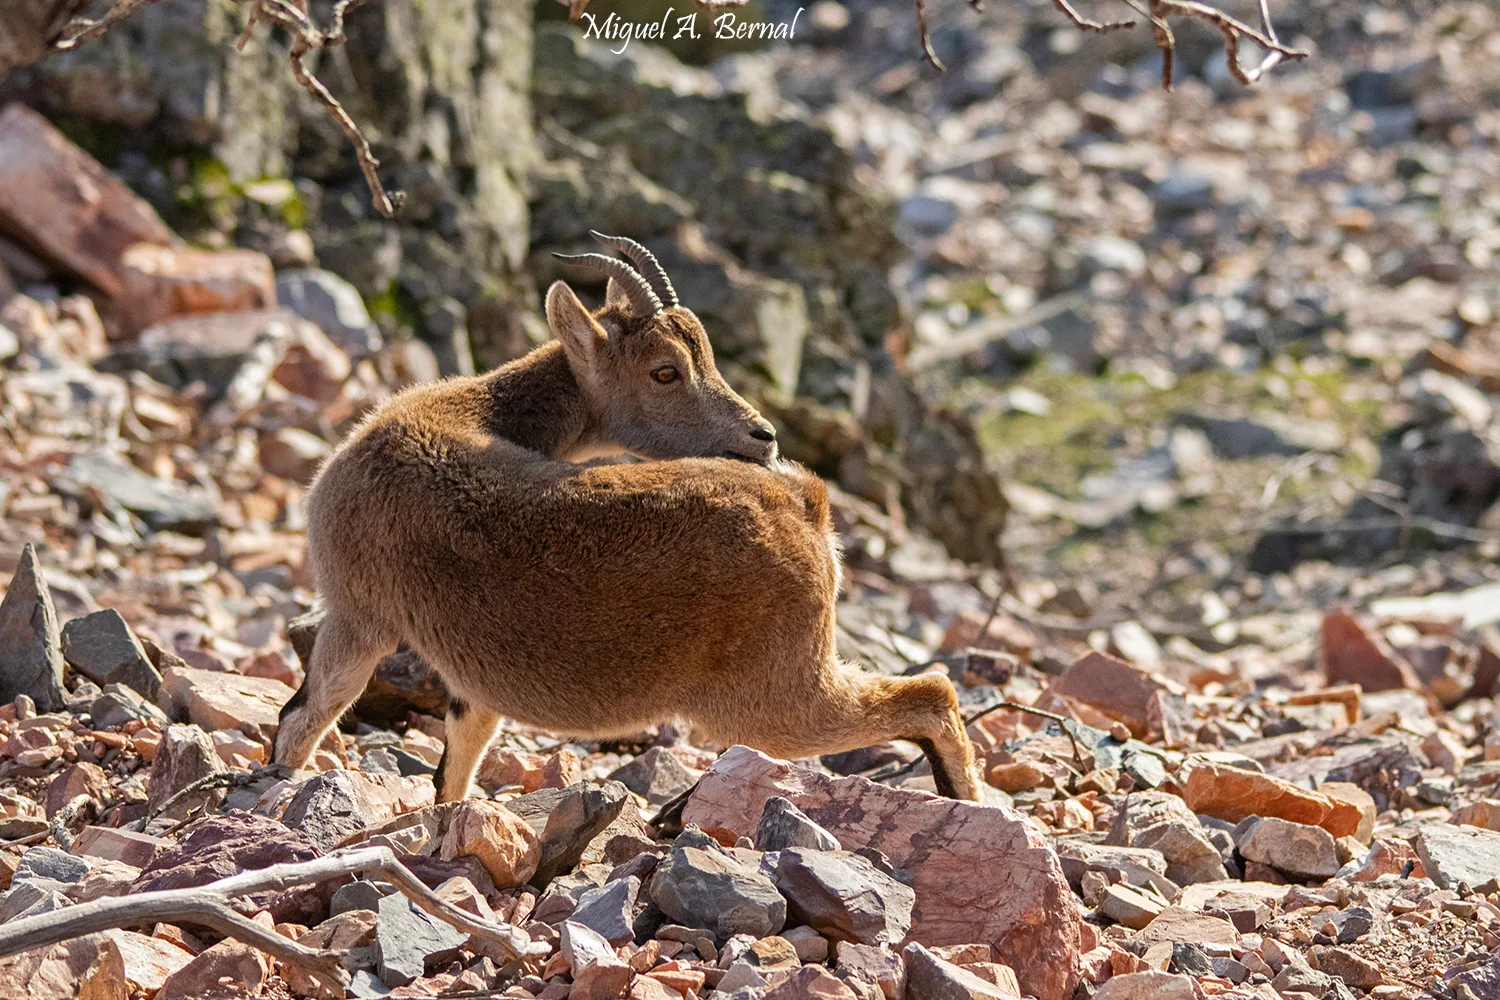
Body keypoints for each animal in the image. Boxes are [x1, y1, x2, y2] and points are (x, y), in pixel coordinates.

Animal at [271, 232, 981, 802]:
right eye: (666, 370)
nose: (763, 437)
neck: (468, 412)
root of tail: (805, 505)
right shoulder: (467, 678)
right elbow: (458, 760)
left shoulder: (358, 611)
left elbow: (307, 716)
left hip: (776, 695)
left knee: (931, 694)